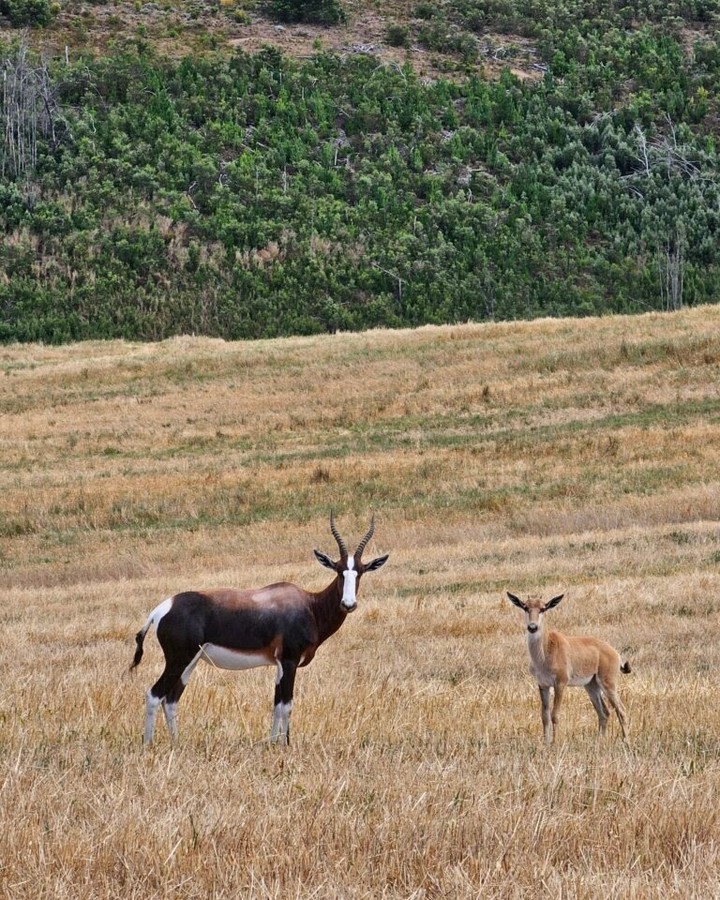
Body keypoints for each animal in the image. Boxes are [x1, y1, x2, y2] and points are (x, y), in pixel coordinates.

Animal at [131, 512, 388, 744]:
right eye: (338, 570)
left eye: (360, 572)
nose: (348, 604)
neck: (309, 605)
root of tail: (161, 609)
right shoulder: (289, 661)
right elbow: (287, 704)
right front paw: (285, 745)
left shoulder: (279, 665)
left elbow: (276, 704)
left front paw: (272, 743)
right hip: (178, 660)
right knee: (154, 694)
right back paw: (148, 744)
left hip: (190, 662)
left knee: (171, 699)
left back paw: (177, 743)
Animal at [506, 592, 632, 744]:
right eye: (525, 607)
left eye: (543, 608)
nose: (532, 627)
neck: (545, 651)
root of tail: (615, 653)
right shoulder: (543, 685)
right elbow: (544, 716)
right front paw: (545, 743)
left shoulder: (560, 683)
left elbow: (555, 715)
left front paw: (554, 743)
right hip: (591, 686)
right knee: (604, 713)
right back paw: (599, 741)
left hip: (608, 684)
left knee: (621, 711)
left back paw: (626, 741)